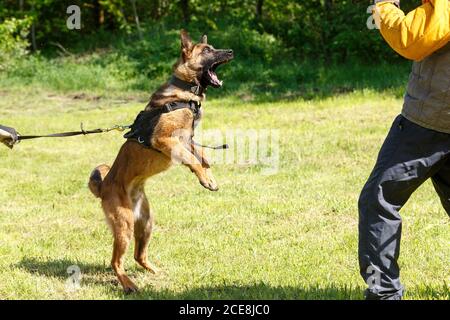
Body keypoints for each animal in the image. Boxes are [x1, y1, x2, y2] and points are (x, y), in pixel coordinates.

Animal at [89, 29, 236, 292]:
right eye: (207, 50)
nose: (231, 51)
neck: (184, 93)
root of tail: (104, 187)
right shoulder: (167, 140)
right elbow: (193, 160)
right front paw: (204, 178)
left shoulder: (188, 139)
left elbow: (202, 156)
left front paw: (209, 176)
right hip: (124, 226)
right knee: (116, 261)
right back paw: (128, 284)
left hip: (146, 223)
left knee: (138, 255)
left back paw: (154, 271)